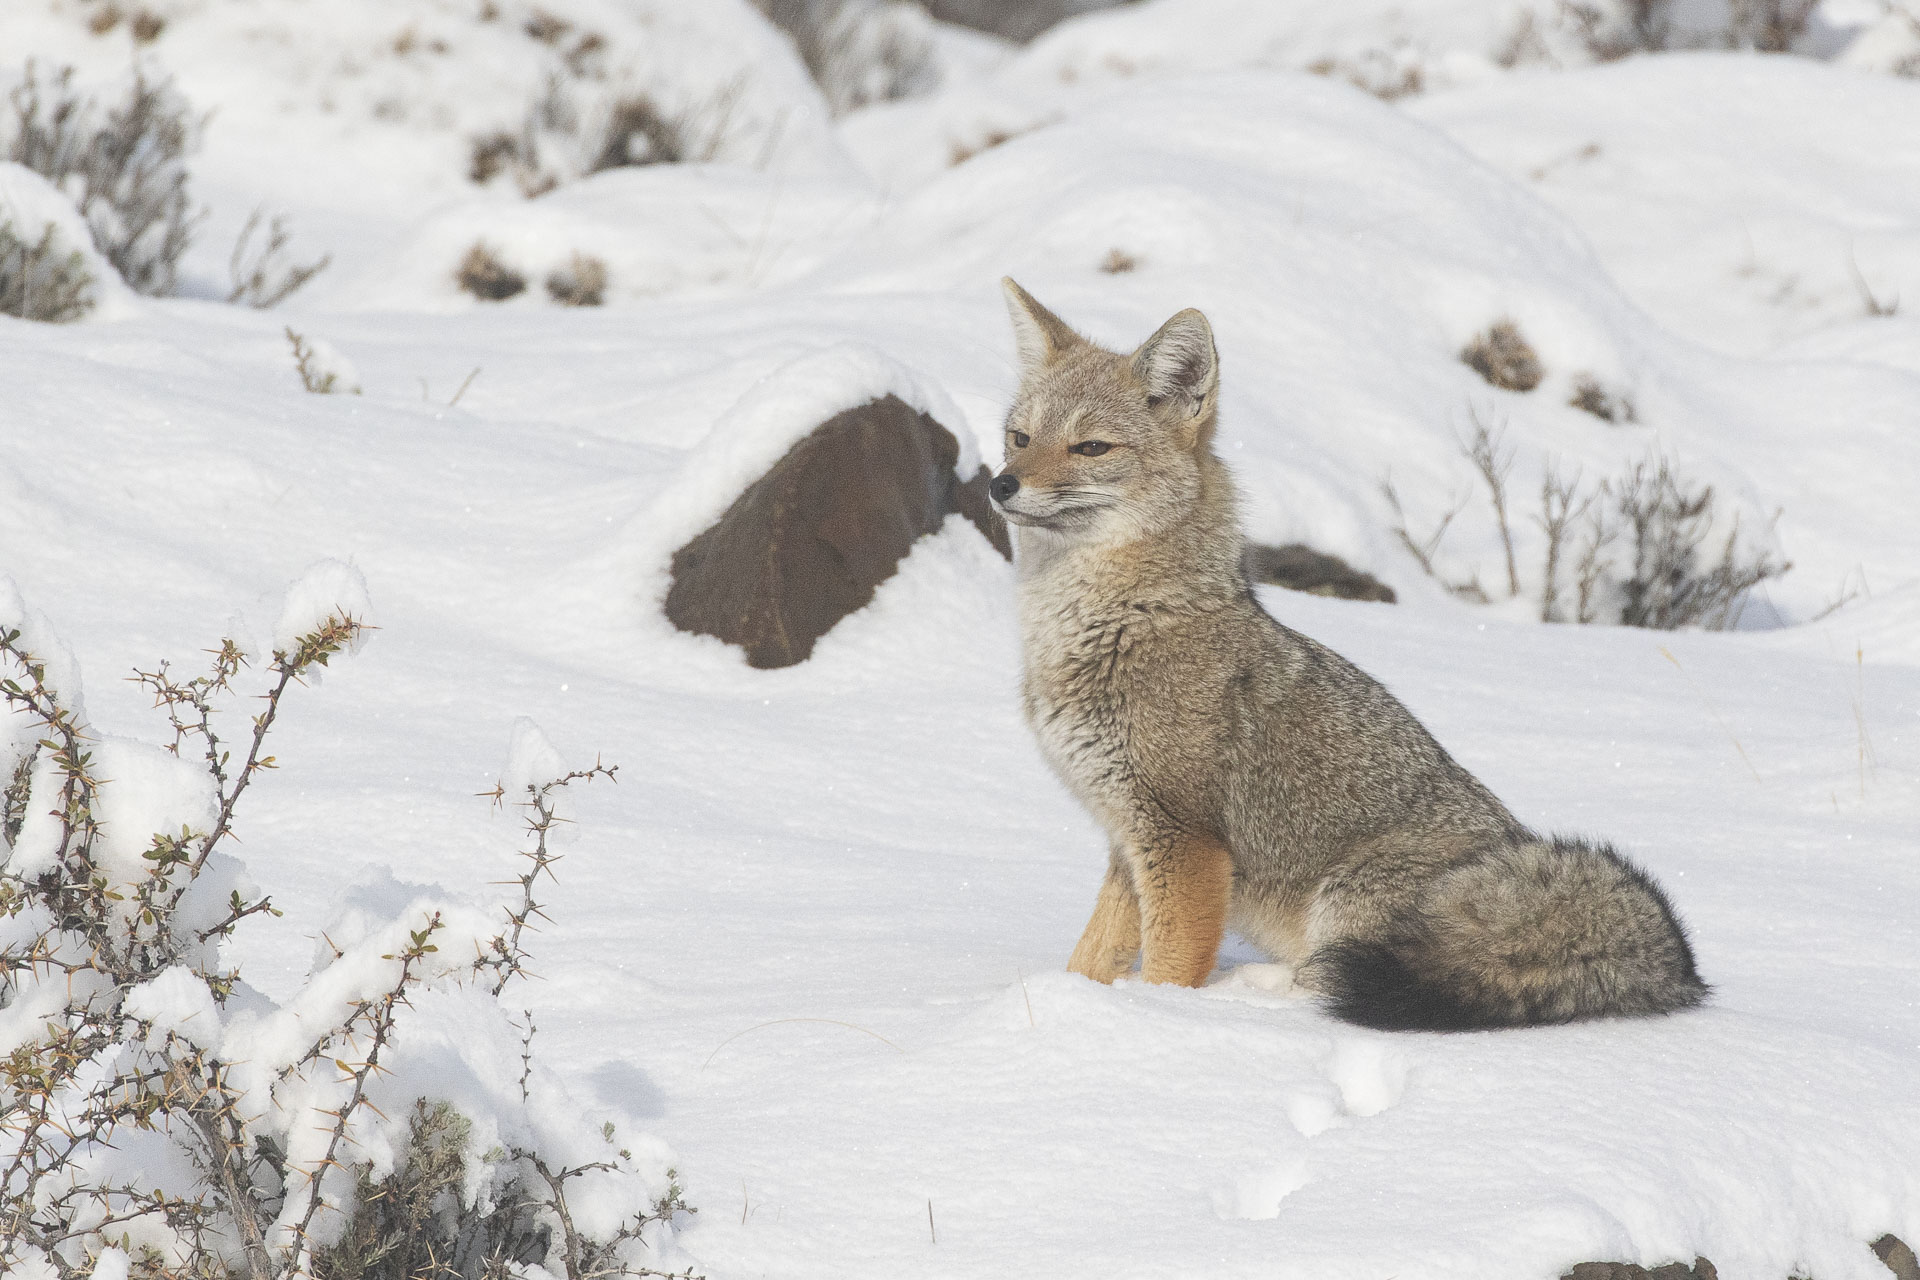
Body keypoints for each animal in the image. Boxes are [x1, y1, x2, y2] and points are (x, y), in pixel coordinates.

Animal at [990, 280, 1712, 1028]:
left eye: (1090, 447)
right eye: (1019, 437)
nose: (999, 484)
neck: (1119, 623)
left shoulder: (1185, 844)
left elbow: (1168, 972)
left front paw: (1158, 1020)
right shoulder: (1127, 838)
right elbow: (1091, 957)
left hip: (1344, 900)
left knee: (1329, 982)